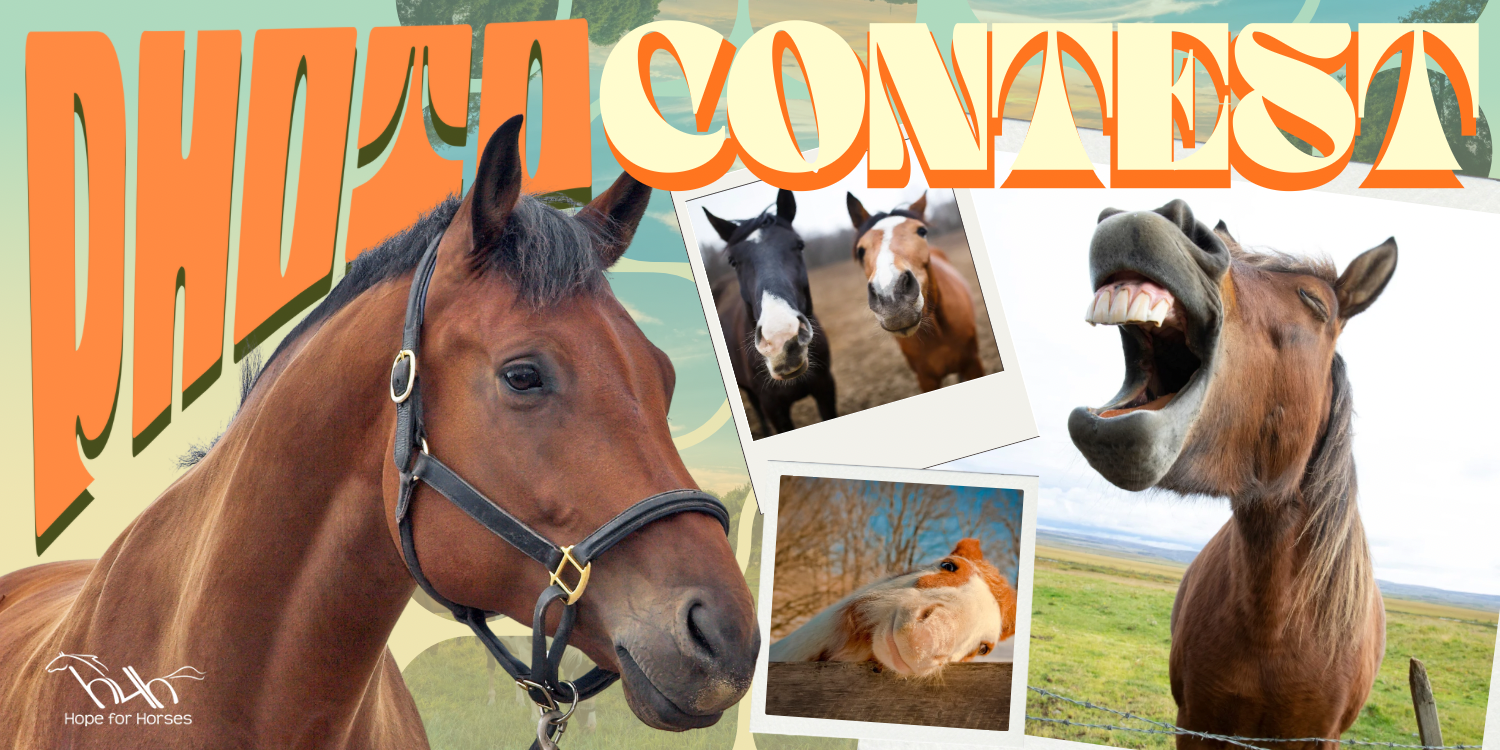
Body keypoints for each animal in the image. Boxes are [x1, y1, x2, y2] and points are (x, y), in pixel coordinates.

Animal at [846, 192, 985, 392]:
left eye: (922, 231)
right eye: (860, 250)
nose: (891, 295)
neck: (938, 334)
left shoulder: (973, 364)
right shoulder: (925, 379)